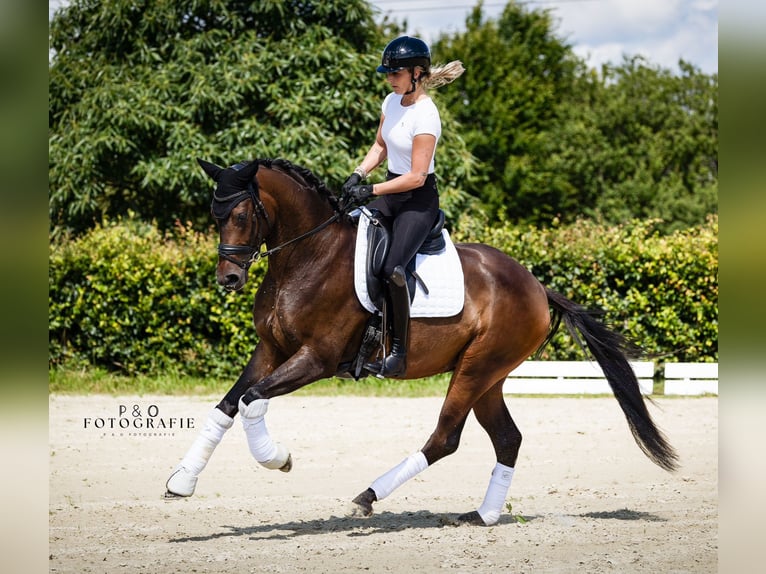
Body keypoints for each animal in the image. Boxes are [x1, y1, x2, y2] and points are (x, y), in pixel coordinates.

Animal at [165, 158, 680, 528]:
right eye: (214, 215)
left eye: (241, 213)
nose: (229, 278)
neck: (308, 255)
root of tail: (536, 285)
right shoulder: (270, 351)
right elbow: (227, 405)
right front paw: (182, 481)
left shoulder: (316, 358)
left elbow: (252, 400)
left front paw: (278, 459)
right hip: (487, 376)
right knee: (507, 438)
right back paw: (483, 515)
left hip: (476, 368)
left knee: (445, 438)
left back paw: (368, 496)